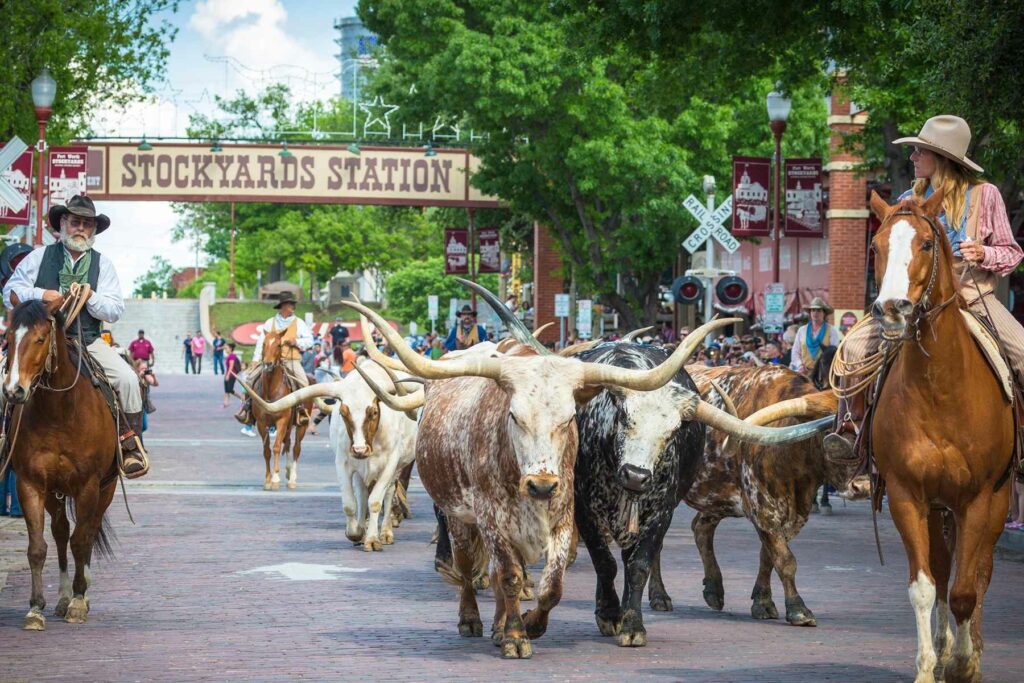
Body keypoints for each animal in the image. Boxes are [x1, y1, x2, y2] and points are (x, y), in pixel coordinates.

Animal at [2, 296, 117, 630]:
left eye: (41, 339)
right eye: (8, 337)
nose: (13, 390)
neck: (59, 413)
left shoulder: (89, 485)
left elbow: (82, 541)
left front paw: (79, 603)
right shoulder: (30, 484)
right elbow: (38, 548)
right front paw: (35, 608)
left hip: (105, 489)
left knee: (87, 532)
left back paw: (80, 595)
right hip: (56, 493)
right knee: (61, 532)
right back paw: (64, 597)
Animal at [250, 327, 307, 489]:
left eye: (279, 345)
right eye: (263, 344)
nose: (268, 364)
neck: (271, 389)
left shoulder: (281, 420)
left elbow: (276, 447)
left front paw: (275, 478)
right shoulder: (262, 423)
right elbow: (267, 450)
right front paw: (268, 479)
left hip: (301, 425)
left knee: (296, 447)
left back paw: (292, 478)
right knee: (287, 443)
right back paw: (287, 471)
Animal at [868, 189, 1011, 683]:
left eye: (927, 244)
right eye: (875, 246)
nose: (892, 308)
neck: (940, 388)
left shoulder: (980, 497)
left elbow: (968, 588)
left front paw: (965, 663)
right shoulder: (907, 494)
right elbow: (927, 586)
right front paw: (930, 666)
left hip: (996, 502)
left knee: (980, 572)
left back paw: (973, 651)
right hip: (937, 506)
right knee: (946, 571)